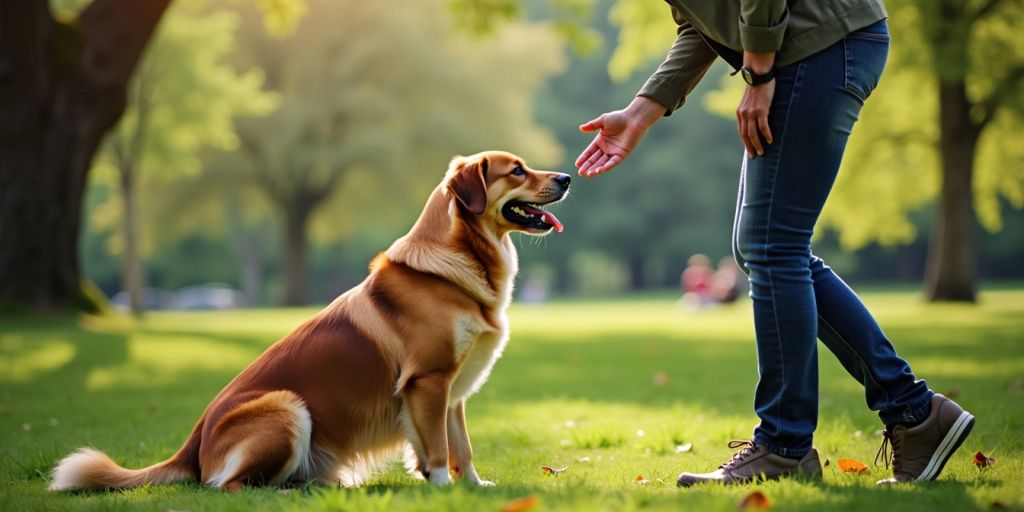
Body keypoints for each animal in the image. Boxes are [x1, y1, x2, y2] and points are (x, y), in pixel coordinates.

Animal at [49, 150, 569, 491]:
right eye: (517, 170)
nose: (566, 177)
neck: (458, 264)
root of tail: (191, 446)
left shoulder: (453, 391)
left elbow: (463, 447)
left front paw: (473, 489)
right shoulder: (428, 381)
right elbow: (440, 450)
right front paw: (442, 489)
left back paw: (323, 485)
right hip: (287, 407)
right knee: (229, 487)